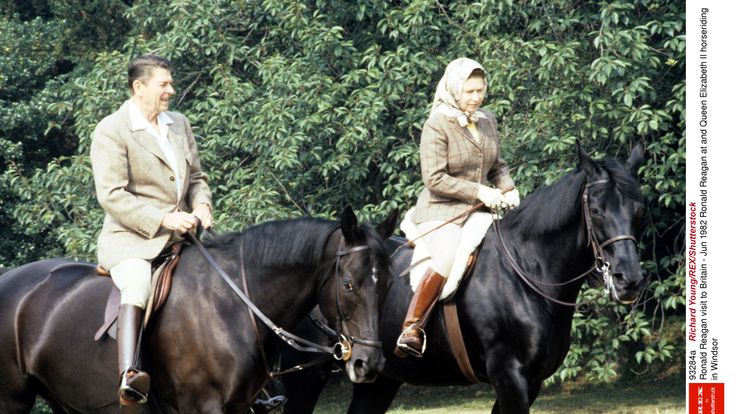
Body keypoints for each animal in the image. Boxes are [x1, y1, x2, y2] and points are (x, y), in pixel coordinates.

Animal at [0, 209, 396, 412]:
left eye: (389, 283)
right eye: (349, 284)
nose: (370, 364)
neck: (233, 304)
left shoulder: (239, 407)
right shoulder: (205, 406)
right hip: (13, 401)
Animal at [278, 143, 648, 414]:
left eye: (639, 210)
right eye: (596, 211)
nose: (628, 280)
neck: (527, 272)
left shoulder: (530, 382)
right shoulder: (509, 376)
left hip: (377, 381)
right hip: (306, 378)